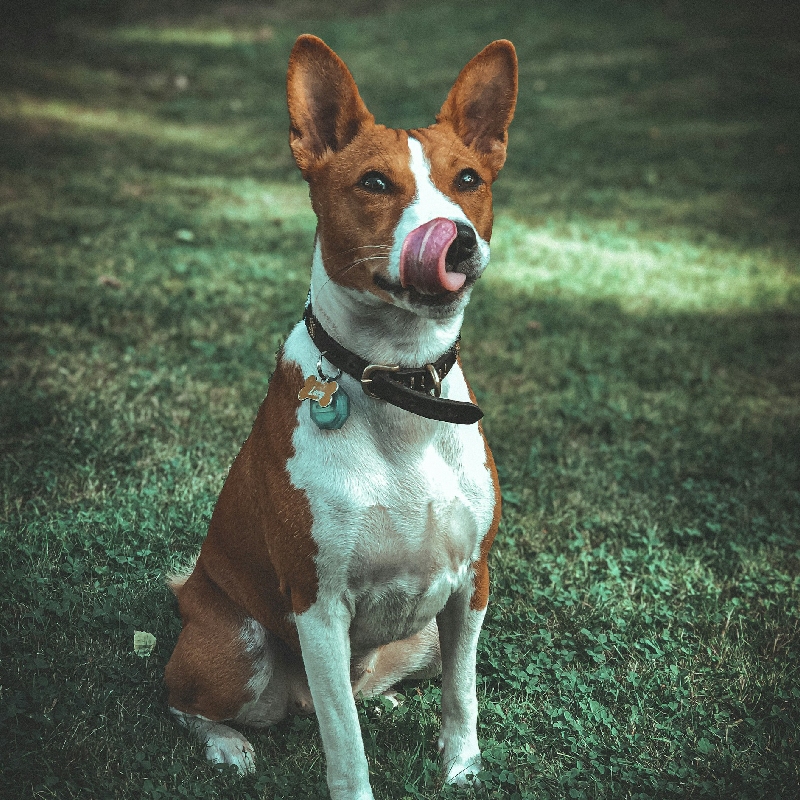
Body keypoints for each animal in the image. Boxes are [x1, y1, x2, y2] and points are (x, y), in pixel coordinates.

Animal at [162, 34, 520, 800]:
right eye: (376, 184)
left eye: (469, 179)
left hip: (419, 639)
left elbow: (462, 694)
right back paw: (226, 745)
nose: (458, 239)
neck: (398, 384)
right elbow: (343, 743)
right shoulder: (318, 607)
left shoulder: (471, 584)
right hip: (235, 649)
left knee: (376, 689)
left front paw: (461, 769)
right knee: (183, 699)